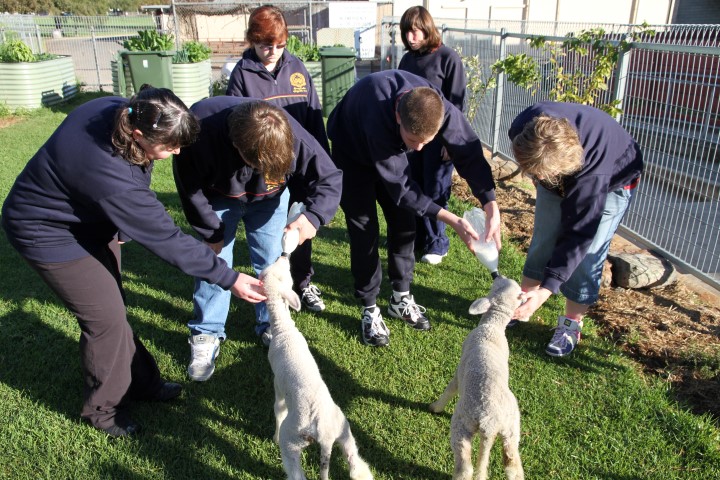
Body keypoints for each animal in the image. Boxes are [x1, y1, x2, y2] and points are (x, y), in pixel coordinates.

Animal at [258, 256, 374, 480]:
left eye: (282, 269)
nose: (282, 256)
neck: (283, 328)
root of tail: (325, 436)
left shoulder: (277, 383)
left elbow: (278, 409)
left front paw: (273, 436)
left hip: (292, 438)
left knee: (295, 471)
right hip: (343, 429)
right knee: (353, 459)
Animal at [430, 276, 524, 480]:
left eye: (497, 285)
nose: (498, 276)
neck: (493, 326)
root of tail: (491, 426)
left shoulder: (459, 373)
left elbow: (450, 390)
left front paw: (435, 407)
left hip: (462, 423)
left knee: (465, 467)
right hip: (512, 430)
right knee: (513, 466)